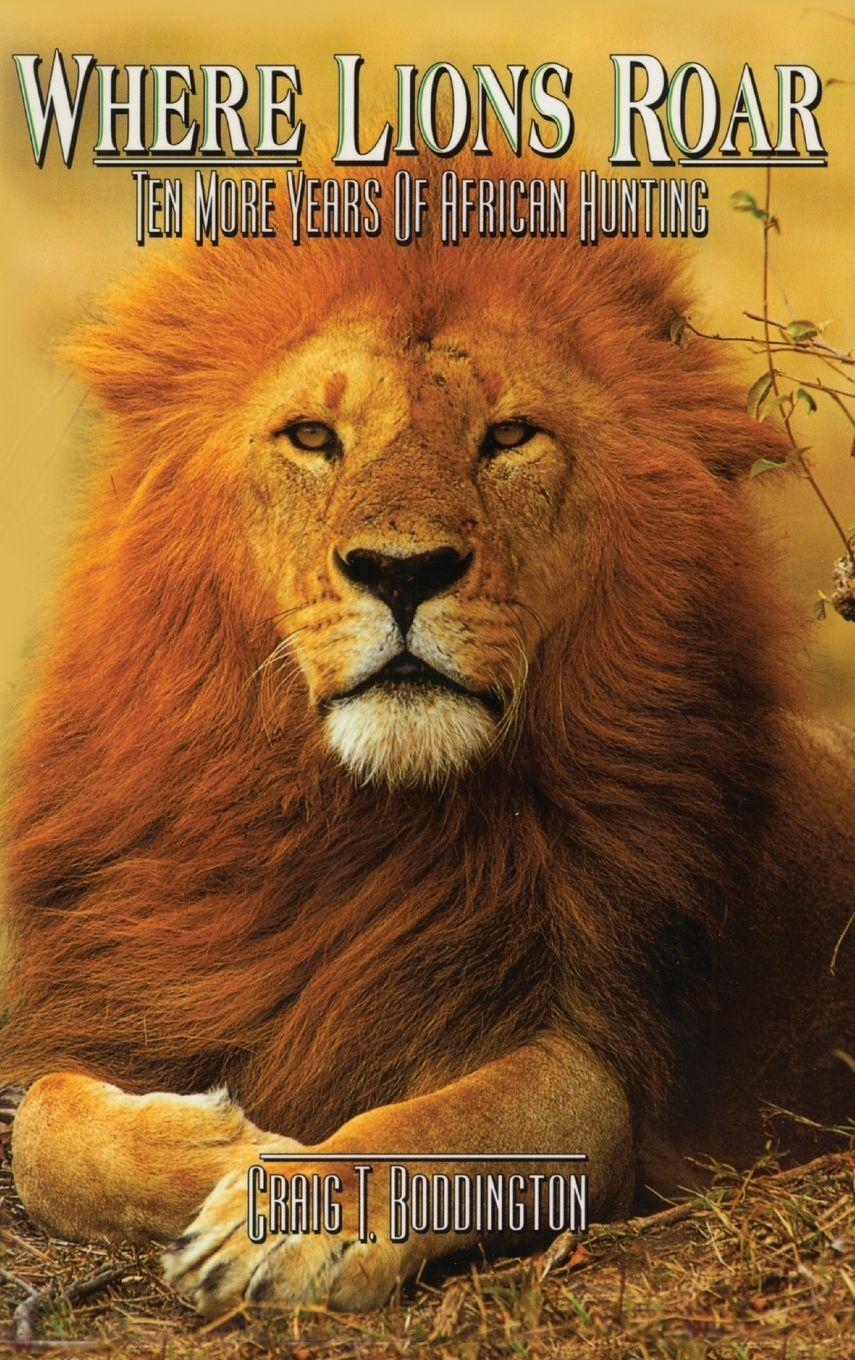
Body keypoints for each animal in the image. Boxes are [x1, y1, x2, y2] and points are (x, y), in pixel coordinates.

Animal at [2, 150, 853, 1317]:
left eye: (508, 437)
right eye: (314, 438)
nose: (402, 572)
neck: (354, 821)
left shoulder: (588, 1058)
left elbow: (450, 1122)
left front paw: (291, 1213)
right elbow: (42, 1125)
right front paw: (230, 1147)